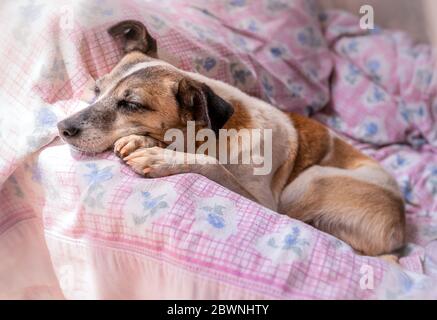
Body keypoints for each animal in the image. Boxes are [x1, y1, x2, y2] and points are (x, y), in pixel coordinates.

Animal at [58, 20, 406, 256]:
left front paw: (157, 155)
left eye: (132, 105)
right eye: (97, 90)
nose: (62, 127)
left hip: (310, 181)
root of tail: (400, 229)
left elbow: (212, 165)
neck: (207, 135)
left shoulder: (262, 201)